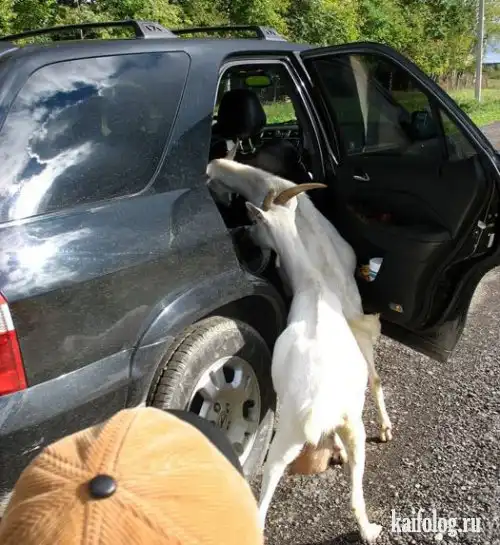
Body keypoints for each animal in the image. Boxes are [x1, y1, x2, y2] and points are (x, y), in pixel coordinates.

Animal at [244, 184, 382, 542]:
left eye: (256, 222)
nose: (244, 233)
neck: (313, 284)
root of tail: (320, 404)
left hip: (288, 431)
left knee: (270, 476)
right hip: (353, 425)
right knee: (354, 494)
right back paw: (369, 530)